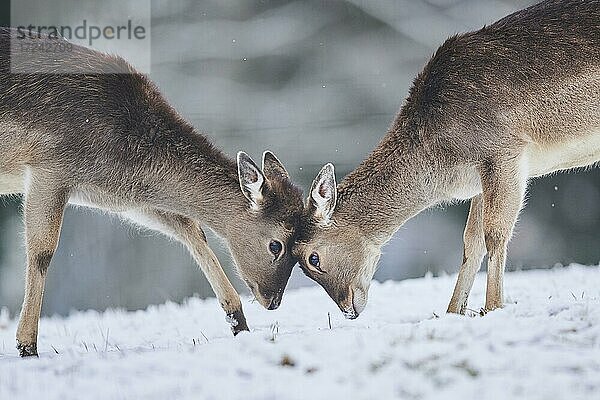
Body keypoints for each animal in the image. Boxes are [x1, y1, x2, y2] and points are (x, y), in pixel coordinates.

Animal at [0, 28, 304, 356]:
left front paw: (239, 323)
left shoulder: (127, 201)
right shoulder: (49, 169)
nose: (273, 301)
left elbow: (192, 230)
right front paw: (27, 346)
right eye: (276, 245)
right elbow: (42, 251)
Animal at [294, 0, 600, 318]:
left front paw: (493, 307)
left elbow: (495, 232)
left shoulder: (505, 150)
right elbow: (471, 241)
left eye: (312, 258)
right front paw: (454, 310)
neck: (445, 168)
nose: (347, 310)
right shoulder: (479, 178)